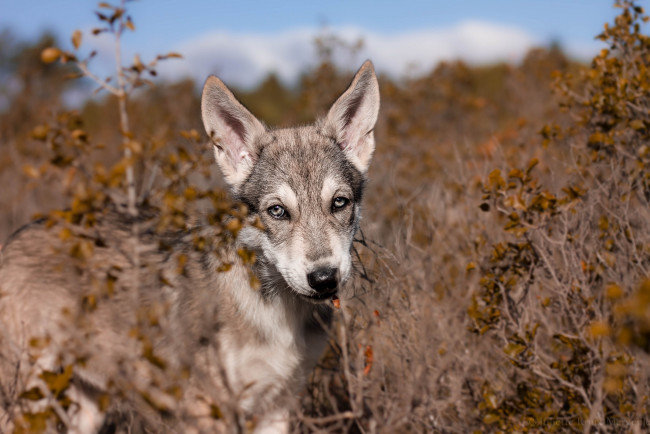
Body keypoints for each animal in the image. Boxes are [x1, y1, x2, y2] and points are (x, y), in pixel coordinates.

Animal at [0, 60, 380, 430]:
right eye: (277, 211)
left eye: (339, 203)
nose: (324, 278)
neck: (277, 312)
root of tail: (15, 237)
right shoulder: (209, 409)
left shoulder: (277, 407)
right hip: (29, 401)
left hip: (87, 407)